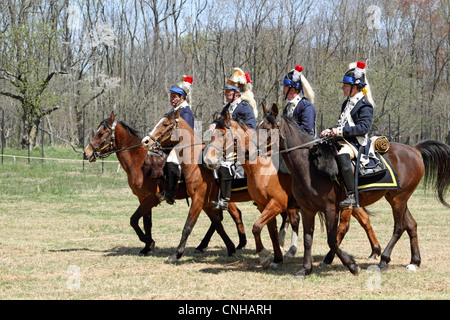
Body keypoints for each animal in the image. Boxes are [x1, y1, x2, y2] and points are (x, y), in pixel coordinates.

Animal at [82, 111, 248, 256]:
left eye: (101, 133)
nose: (86, 152)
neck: (141, 163)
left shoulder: (151, 198)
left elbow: (134, 220)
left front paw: (149, 243)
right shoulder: (143, 198)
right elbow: (146, 223)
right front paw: (146, 247)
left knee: (231, 215)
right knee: (223, 218)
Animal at [203, 110, 298, 268]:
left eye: (222, 134)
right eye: (211, 134)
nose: (209, 161)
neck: (262, 168)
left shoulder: (276, 204)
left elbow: (256, 227)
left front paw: (264, 255)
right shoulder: (263, 205)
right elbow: (270, 231)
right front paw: (276, 258)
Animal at [258, 104, 382, 264]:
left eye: (267, 128)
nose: (251, 149)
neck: (309, 167)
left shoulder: (328, 207)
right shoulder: (302, 207)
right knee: (365, 220)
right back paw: (375, 251)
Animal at [278, 113, 450, 278]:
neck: (310, 168)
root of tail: (414, 149)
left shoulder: (332, 208)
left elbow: (334, 236)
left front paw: (349, 264)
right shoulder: (308, 209)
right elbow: (309, 238)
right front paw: (306, 267)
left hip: (398, 199)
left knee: (399, 227)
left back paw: (384, 259)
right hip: (397, 198)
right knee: (411, 225)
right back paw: (414, 262)